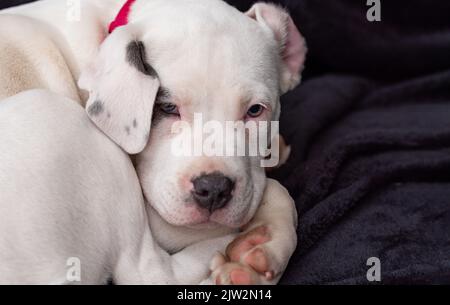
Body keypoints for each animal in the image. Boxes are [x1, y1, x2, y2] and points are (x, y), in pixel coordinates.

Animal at [0, 0, 306, 282]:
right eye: (168, 107)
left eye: (255, 110)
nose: (214, 189)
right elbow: (276, 190)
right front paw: (266, 242)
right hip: (58, 117)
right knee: (152, 271)